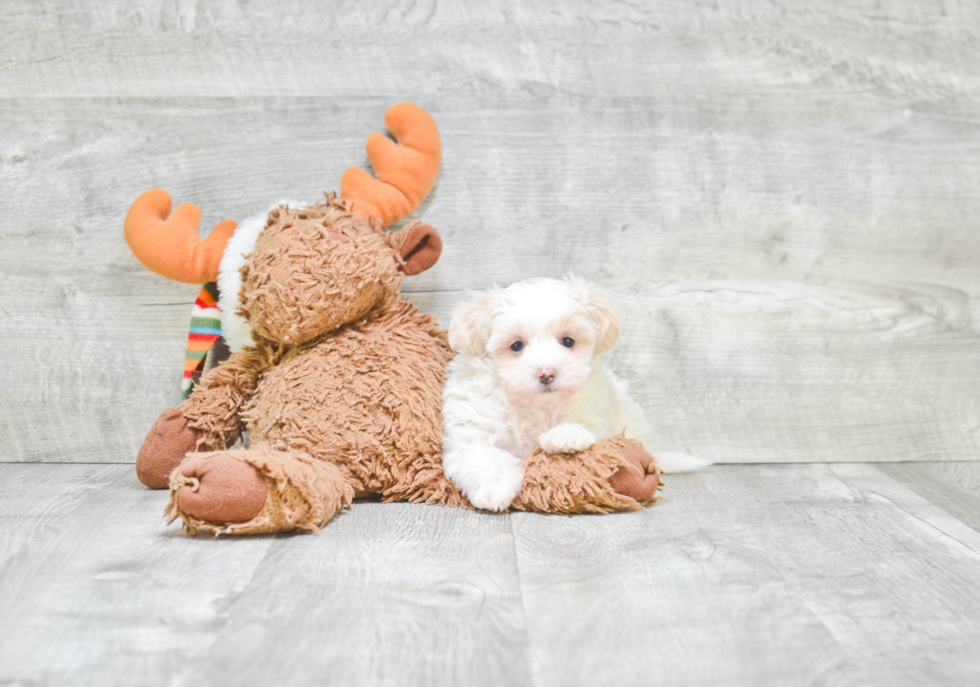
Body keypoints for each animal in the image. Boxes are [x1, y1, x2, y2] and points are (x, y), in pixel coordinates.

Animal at [442, 278, 704, 510]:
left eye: (567, 341)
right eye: (516, 346)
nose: (546, 373)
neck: (535, 404)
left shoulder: (593, 409)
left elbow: (584, 426)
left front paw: (565, 436)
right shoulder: (473, 428)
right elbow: (479, 454)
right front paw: (494, 489)